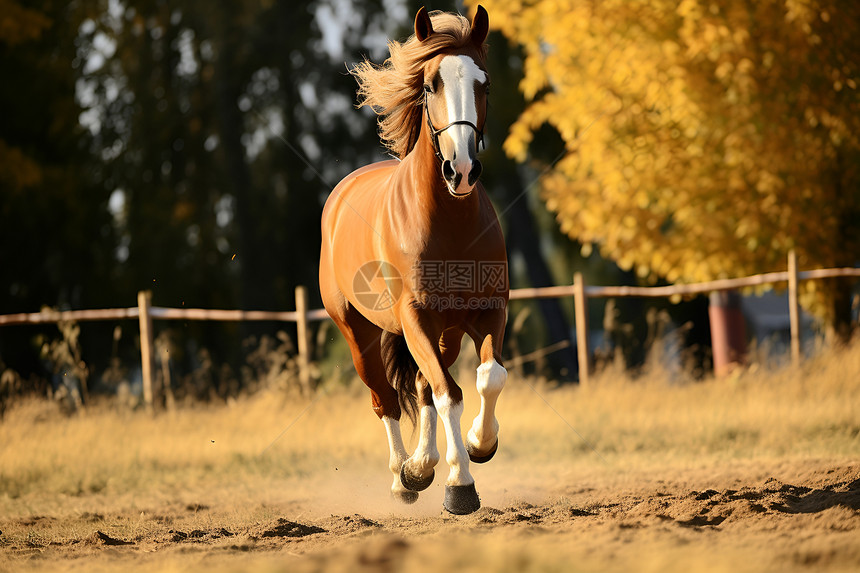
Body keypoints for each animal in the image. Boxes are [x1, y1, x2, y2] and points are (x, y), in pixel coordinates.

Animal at [318, 5, 508, 512]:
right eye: (429, 86)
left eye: (484, 84)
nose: (461, 170)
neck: (449, 220)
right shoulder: (416, 317)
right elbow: (449, 394)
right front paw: (460, 485)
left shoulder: (489, 311)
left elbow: (488, 377)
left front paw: (480, 444)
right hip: (358, 332)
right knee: (385, 398)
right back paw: (404, 477)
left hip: (446, 334)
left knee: (423, 387)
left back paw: (422, 465)